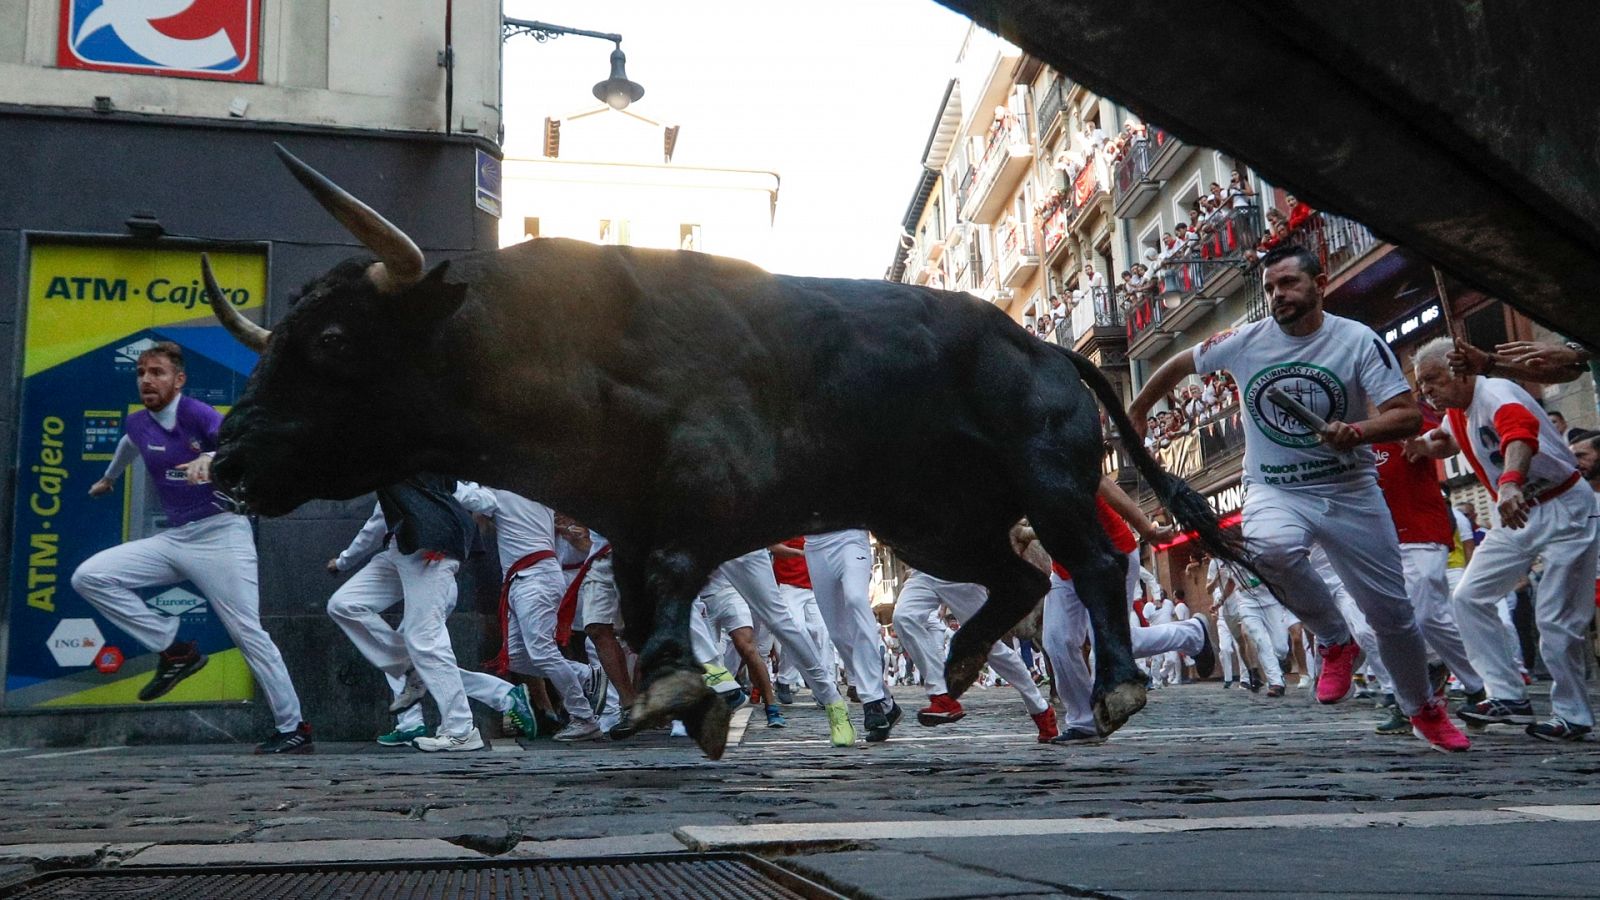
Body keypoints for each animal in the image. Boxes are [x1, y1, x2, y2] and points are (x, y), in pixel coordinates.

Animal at [203, 150, 1248, 752]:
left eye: (334, 338)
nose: (225, 465)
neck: (567, 343)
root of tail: (1046, 348)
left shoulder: (704, 494)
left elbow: (668, 584)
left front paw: (676, 692)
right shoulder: (626, 523)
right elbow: (636, 605)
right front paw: (692, 703)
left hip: (1049, 483)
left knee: (1094, 564)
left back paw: (1110, 695)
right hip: (932, 522)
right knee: (1018, 580)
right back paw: (954, 671)